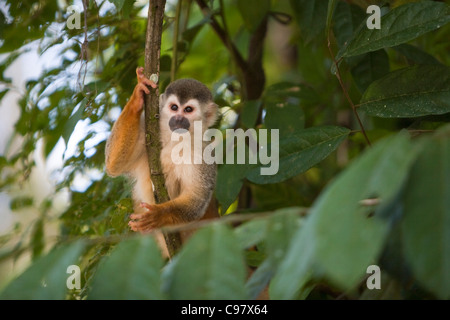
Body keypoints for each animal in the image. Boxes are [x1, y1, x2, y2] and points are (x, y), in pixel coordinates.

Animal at [105, 66, 218, 234]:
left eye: (188, 109)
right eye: (174, 108)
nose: (178, 119)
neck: (174, 139)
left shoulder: (202, 151)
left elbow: (196, 198)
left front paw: (159, 214)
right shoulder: (147, 130)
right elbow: (113, 164)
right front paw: (137, 95)